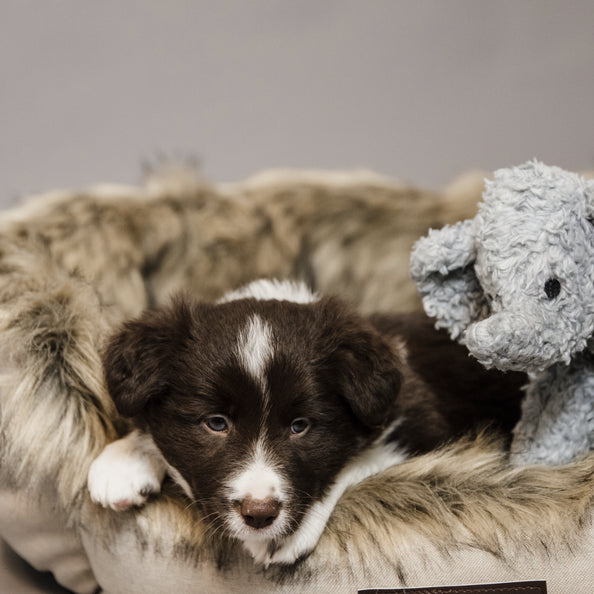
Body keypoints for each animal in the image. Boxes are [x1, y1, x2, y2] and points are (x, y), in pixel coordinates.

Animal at [88, 278, 524, 564]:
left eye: (300, 426)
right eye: (216, 423)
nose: (259, 515)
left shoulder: (424, 425)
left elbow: (358, 460)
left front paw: (290, 534)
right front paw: (124, 459)